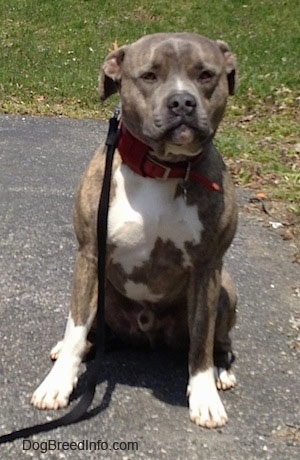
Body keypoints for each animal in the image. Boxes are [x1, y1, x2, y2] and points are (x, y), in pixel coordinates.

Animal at [31, 32, 238, 428]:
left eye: (206, 75)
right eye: (149, 76)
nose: (182, 102)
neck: (161, 168)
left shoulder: (208, 268)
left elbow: (202, 340)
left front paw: (204, 395)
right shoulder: (90, 254)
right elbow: (76, 327)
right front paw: (58, 383)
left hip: (226, 285)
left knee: (219, 341)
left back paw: (222, 370)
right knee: (89, 331)